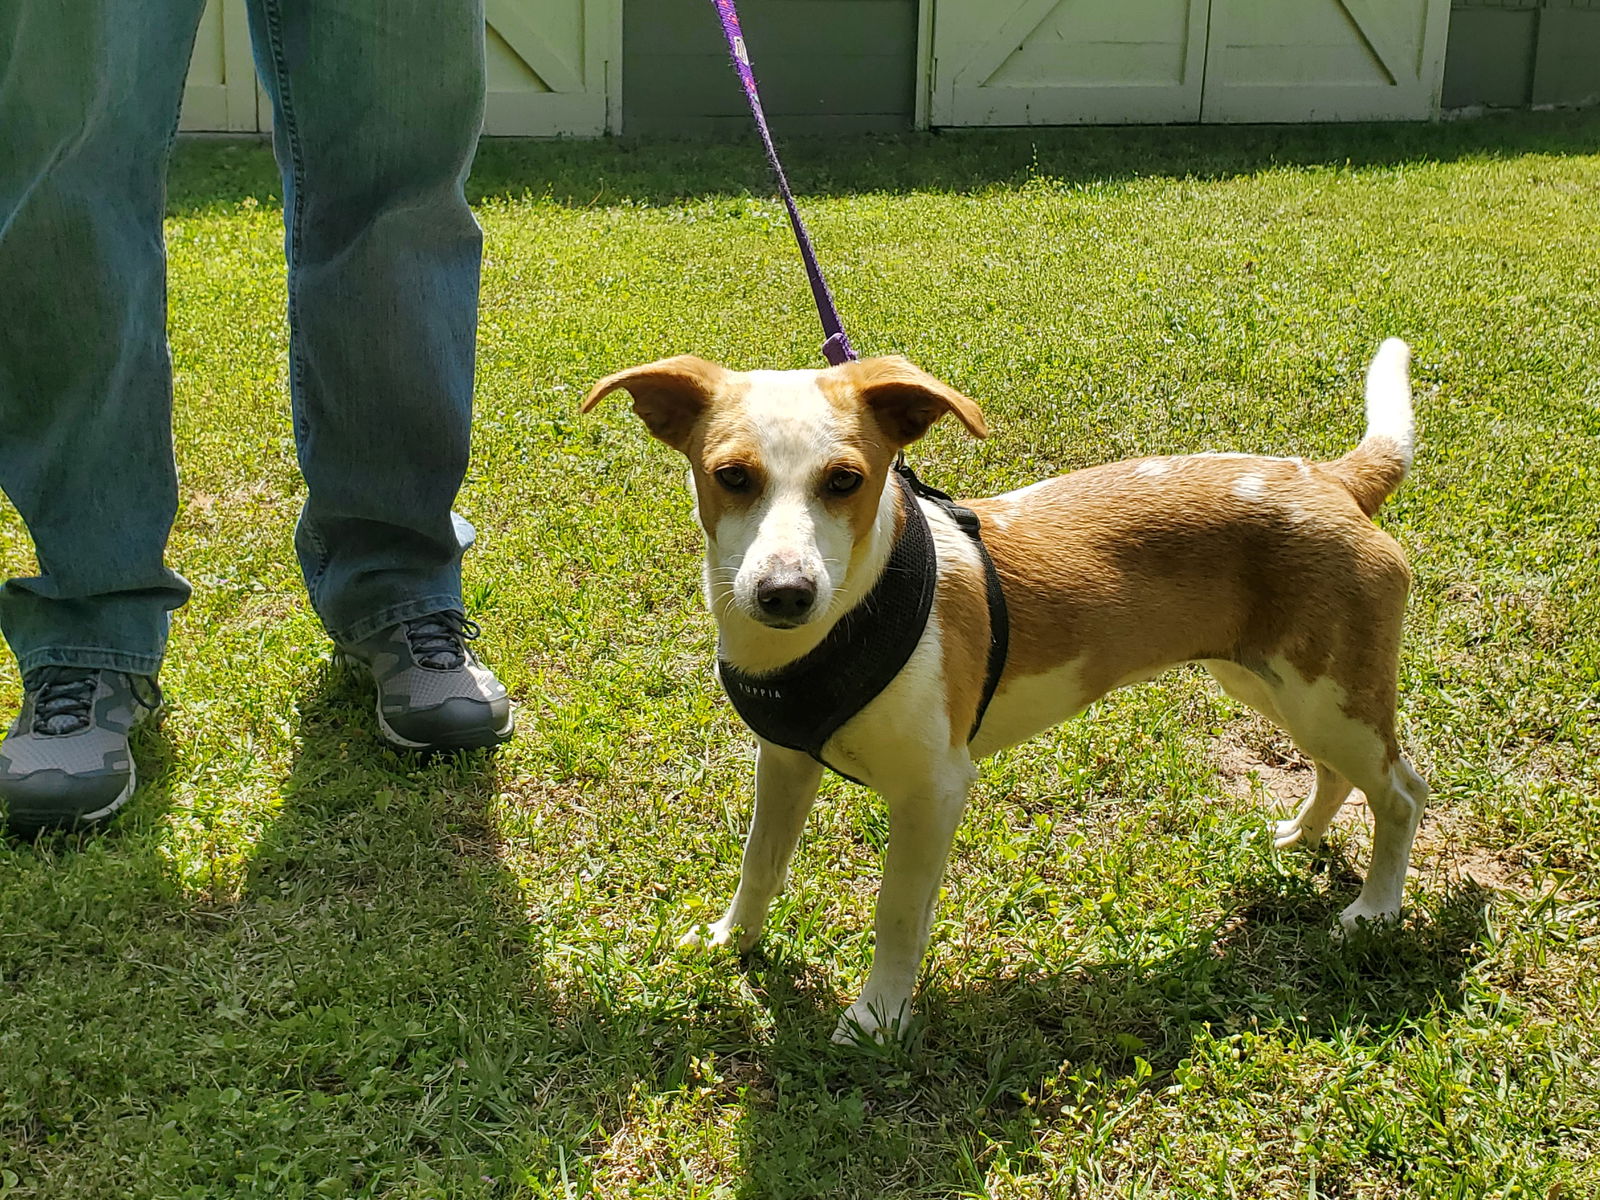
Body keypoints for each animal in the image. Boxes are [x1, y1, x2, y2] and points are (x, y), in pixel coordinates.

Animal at [585, 336, 1427, 1043]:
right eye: (731, 476)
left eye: (846, 481)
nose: (785, 593)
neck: (839, 624)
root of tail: (1329, 479)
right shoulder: (785, 759)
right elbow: (760, 862)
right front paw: (733, 942)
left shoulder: (934, 789)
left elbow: (897, 913)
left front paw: (877, 1016)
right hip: (1276, 682)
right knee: (1338, 770)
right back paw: (1305, 835)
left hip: (1325, 693)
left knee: (1403, 790)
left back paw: (1375, 910)